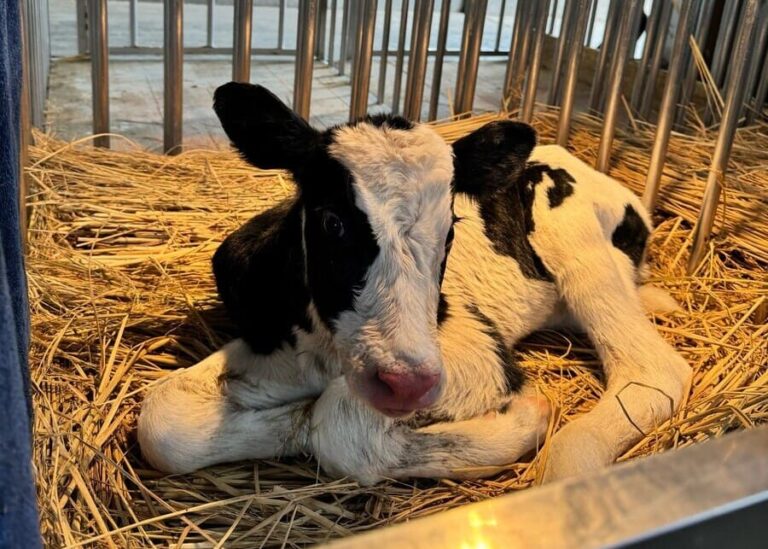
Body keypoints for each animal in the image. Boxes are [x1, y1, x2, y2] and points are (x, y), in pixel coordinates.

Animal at [138, 82, 692, 484]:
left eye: (451, 229)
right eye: (332, 221)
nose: (406, 382)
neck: (328, 353)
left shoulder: (474, 350)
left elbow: (334, 422)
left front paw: (524, 418)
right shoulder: (273, 341)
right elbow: (161, 421)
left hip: (570, 231)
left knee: (653, 367)